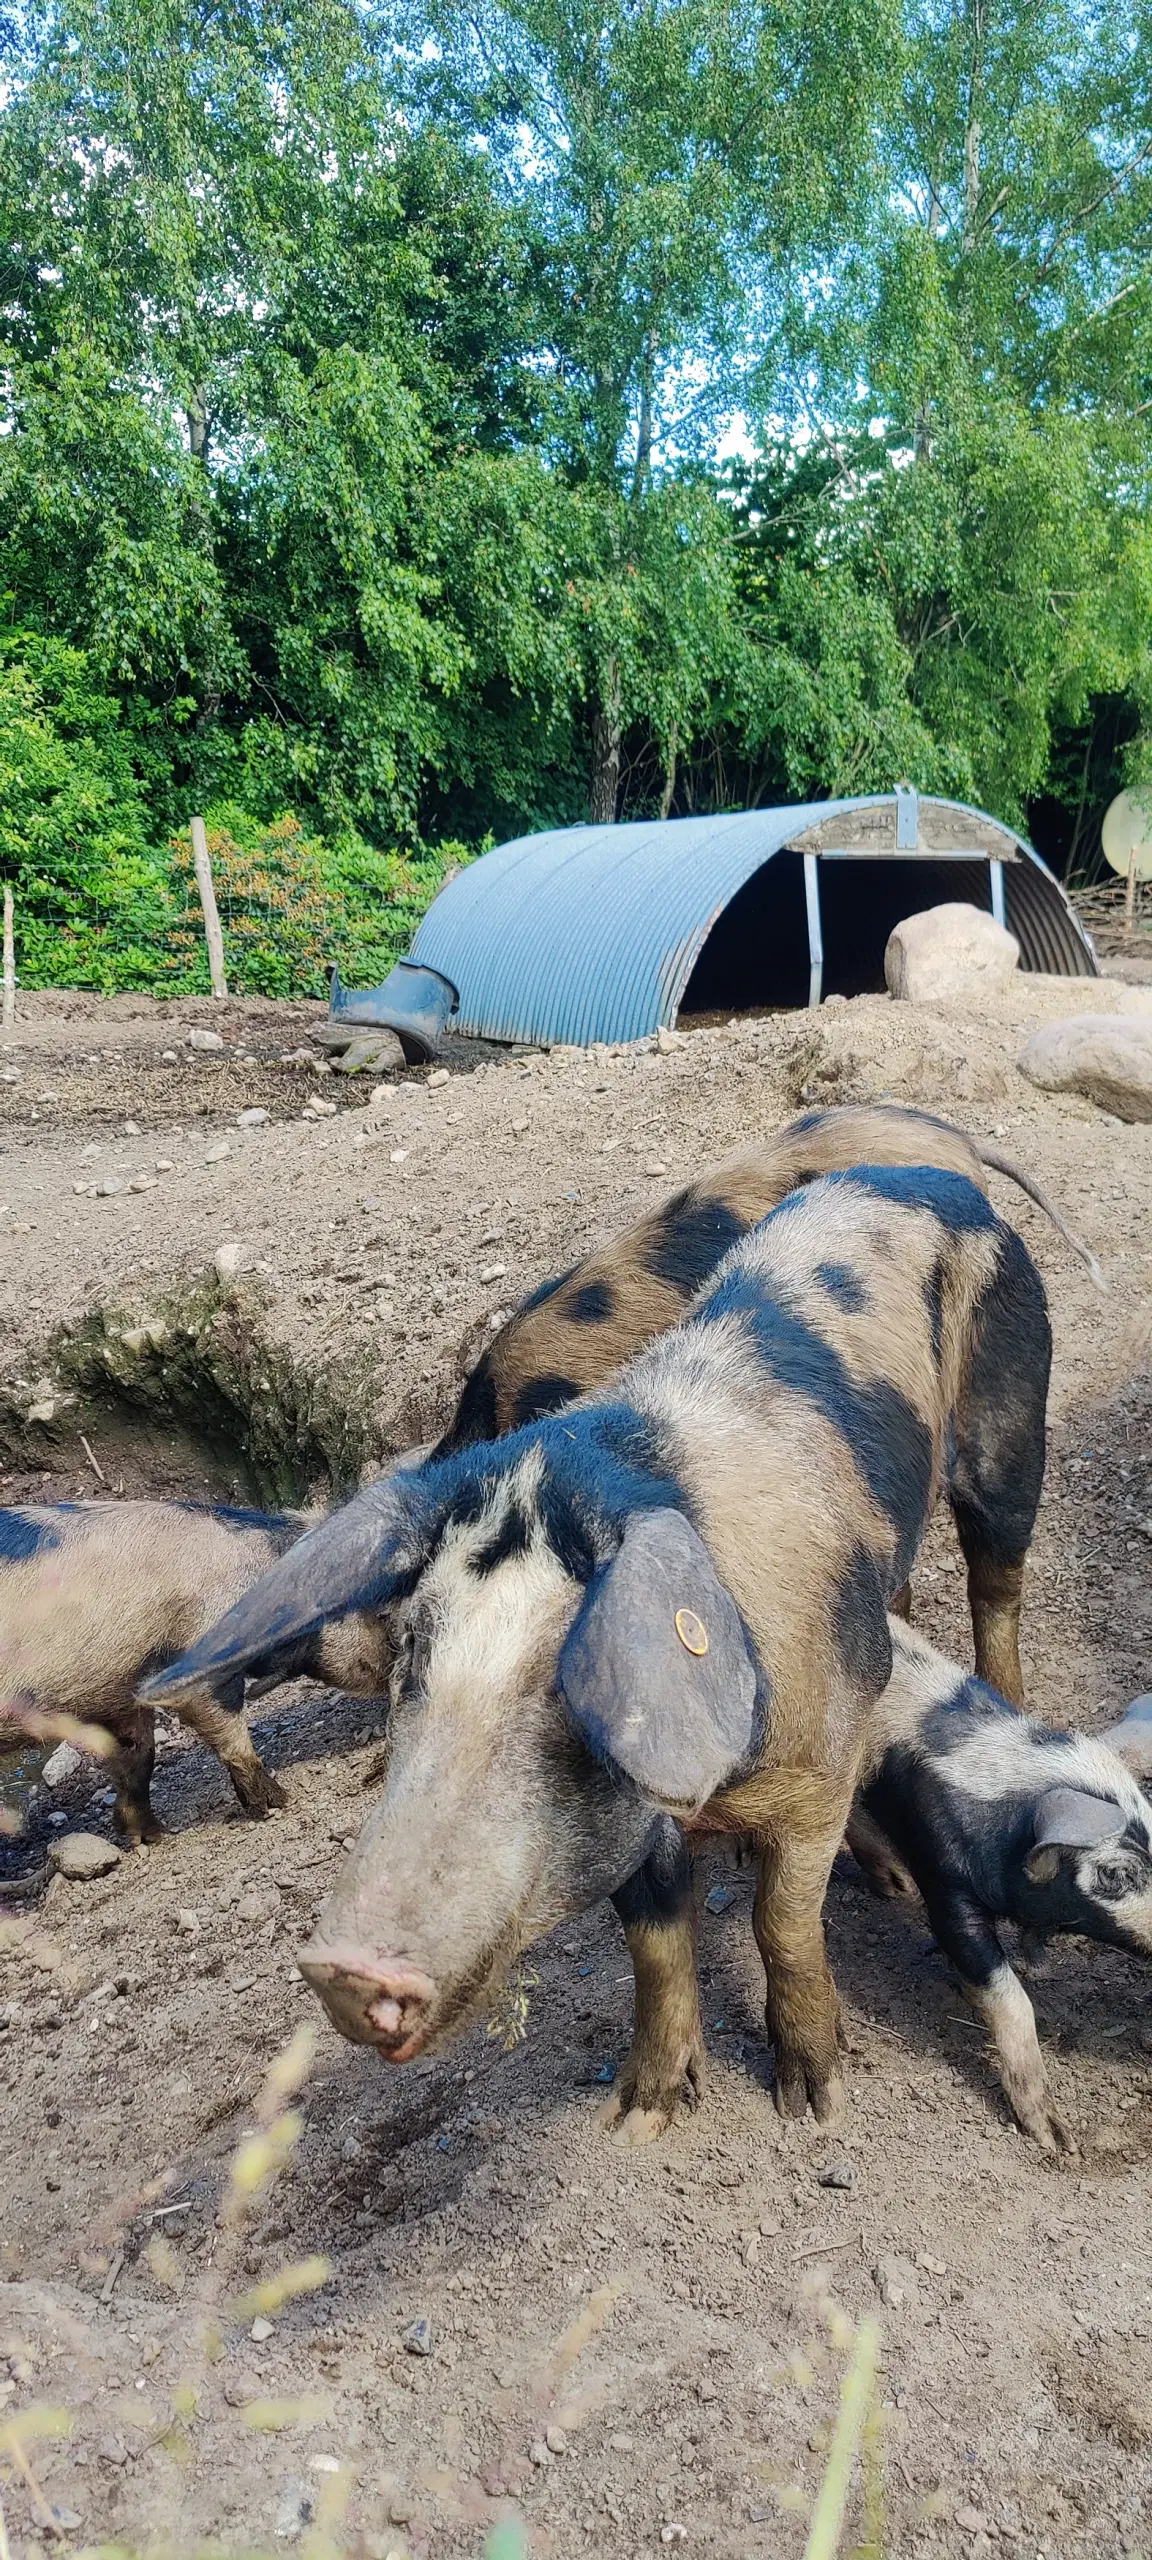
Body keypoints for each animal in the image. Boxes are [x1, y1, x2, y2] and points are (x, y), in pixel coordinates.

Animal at [151, 1172, 1054, 2129]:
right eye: (412, 1652)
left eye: (573, 1680)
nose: (344, 1970)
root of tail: (936, 1181)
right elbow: (652, 1942)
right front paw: (641, 2113)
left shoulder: (817, 1761)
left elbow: (782, 1921)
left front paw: (812, 2101)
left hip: (1010, 1428)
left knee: (998, 1584)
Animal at [855, 1628, 1152, 2150]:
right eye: (1117, 1874)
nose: (1063, 2143)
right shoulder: (941, 1869)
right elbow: (1002, 1988)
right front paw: (1055, 2140)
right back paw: (894, 1885)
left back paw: (892, 1884)